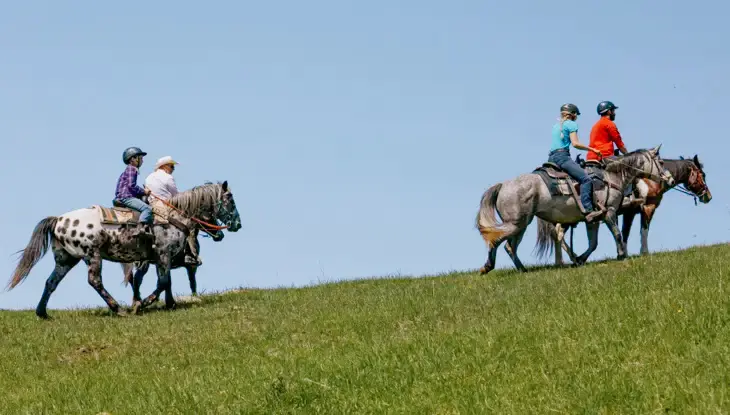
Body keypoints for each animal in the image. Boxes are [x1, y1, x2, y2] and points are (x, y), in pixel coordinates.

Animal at [6, 181, 242, 319]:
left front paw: (167, 304)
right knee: (94, 281)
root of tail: (59, 219)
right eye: (230, 200)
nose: (237, 224)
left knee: (51, 282)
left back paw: (42, 313)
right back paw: (117, 308)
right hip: (92, 255)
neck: (172, 218)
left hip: (66, 259)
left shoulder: (157, 259)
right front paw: (142, 304)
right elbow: (163, 282)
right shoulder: (163, 255)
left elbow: (161, 282)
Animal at [475, 146, 673, 274]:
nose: (670, 179)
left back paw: (522, 269)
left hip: (521, 225)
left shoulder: (593, 220)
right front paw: (621, 255)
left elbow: (593, 243)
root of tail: (503, 185)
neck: (612, 177)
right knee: (497, 240)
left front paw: (580, 259)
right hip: (516, 223)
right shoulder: (609, 212)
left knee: (510, 246)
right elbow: (617, 234)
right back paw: (488, 267)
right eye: (661, 162)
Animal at [535, 154, 711, 264]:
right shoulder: (647, 208)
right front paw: (643, 251)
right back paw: (566, 259)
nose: (708, 196)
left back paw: (567, 259)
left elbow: (624, 232)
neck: (651, 180)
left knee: (557, 234)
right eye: (703, 174)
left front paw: (623, 251)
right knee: (557, 233)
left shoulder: (629, 212)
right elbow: (643, 230)